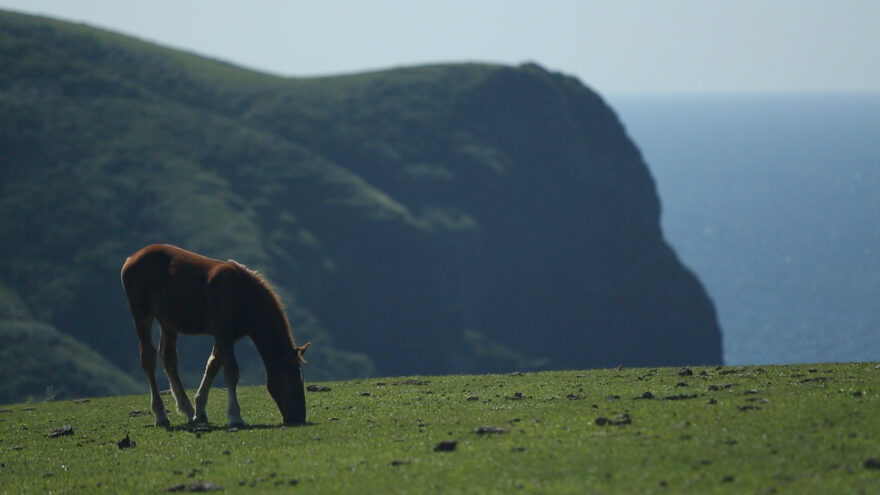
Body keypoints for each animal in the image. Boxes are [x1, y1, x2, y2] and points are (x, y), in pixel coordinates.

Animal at [120, 244, 312, 426]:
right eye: (292, 380)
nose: (298, 417)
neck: (242, 295)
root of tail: (132, 258)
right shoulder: (224, 336)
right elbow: (231, 373)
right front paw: (235, 416)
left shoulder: (225, 337)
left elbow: (212, 366)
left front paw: (199, 411)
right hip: (142, 314)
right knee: (148, 359)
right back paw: (160, 416)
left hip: (167, 321)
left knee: (169, 358)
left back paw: (187, 410)